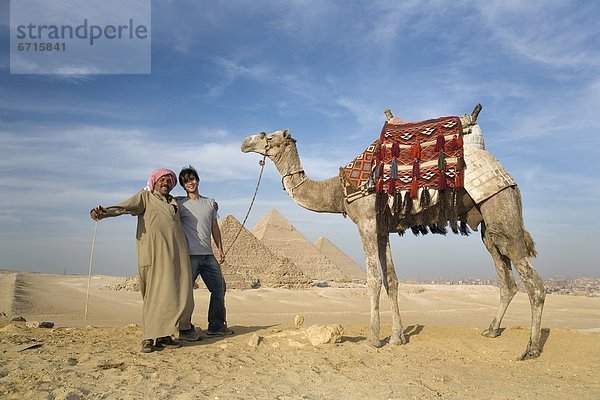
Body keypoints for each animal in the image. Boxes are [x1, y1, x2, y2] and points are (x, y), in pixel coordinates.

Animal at [239, 105, 544, 360]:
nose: (244, 142)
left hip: (501, 207)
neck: (338, 190)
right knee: (506, 277)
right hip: (488, 226)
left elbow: (373, 280)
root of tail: (507, 175)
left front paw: (374, 339)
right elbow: (392, 281)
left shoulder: (366, 222)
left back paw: (530, 349)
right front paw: (398, 337)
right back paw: (491, 330)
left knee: (534, 282)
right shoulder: (382, 229)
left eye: (267, 136)